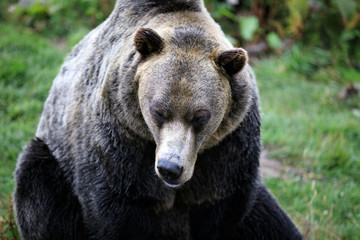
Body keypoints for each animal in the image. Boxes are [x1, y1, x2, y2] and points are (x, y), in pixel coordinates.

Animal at [14, 0, 302, 238]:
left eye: (200, 116)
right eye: (158, 111)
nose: (170, 168)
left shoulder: (227, 146)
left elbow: (221, 204)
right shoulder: (120, 138)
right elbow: (115, 209)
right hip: (54, 158)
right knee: (39, 188)